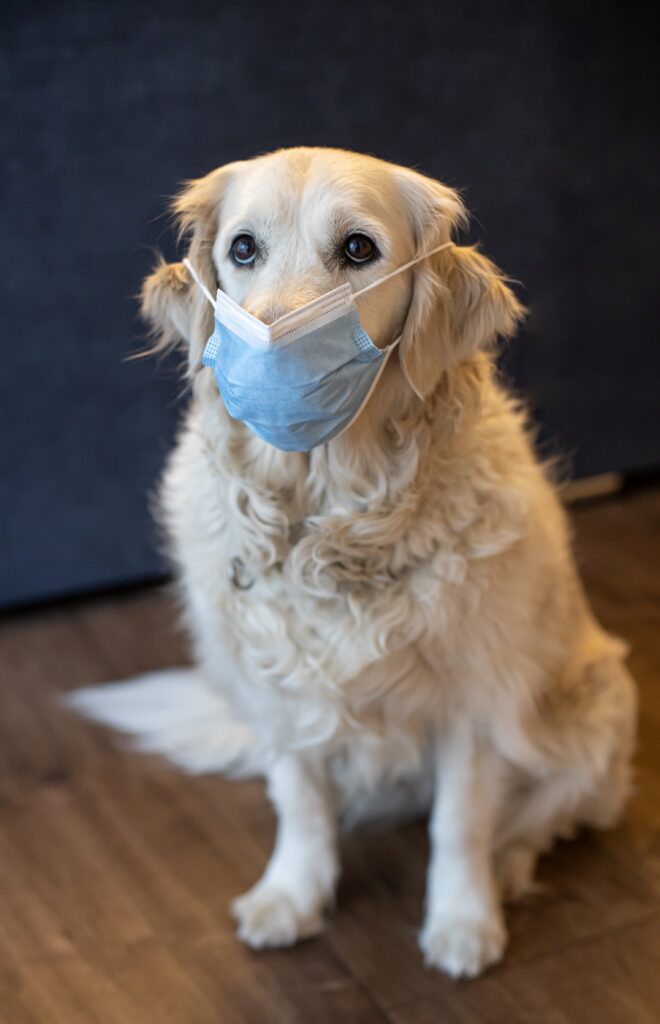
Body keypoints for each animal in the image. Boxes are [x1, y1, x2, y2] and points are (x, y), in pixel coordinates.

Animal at [69, 148, 634, 978]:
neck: (330, 523)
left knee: (538, 818)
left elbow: (460, 824)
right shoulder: (276, 691)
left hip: (597, 709)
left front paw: (462, 922)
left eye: (359, 249)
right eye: (243, 248)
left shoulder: (475, 700)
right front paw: (290, 897)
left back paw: (507, 869)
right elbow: (303, 805)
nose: (269, 344)